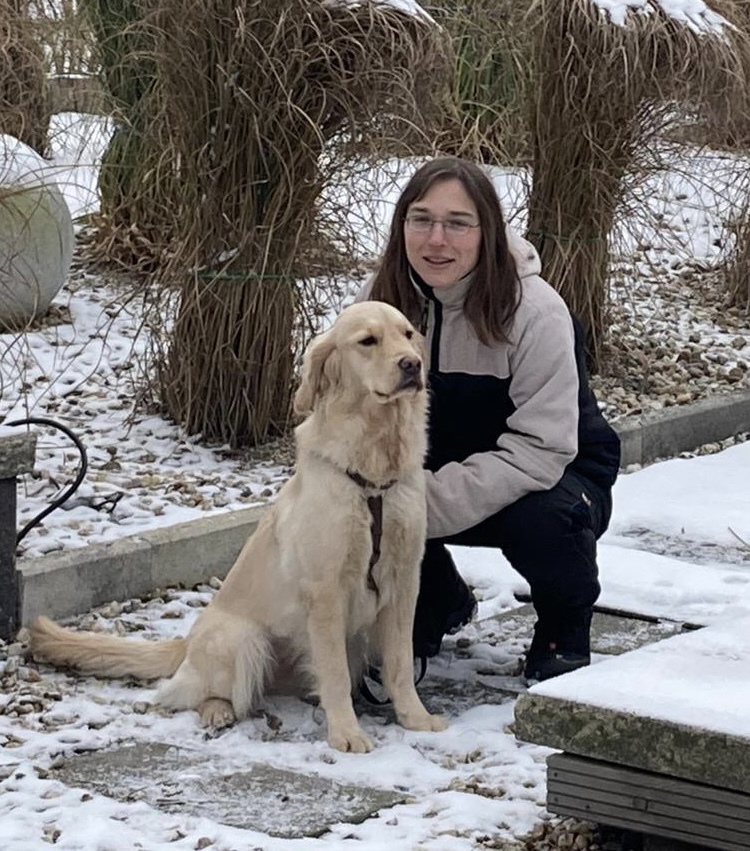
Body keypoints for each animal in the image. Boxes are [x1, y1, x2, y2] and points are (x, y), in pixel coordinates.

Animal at [30, 300, 448, 753]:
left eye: (408, 334)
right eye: (368, 341)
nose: (412, 364)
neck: (373, 473)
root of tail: (186, 643)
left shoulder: (404, 581)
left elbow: (400, 663)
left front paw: (416, 718)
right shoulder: (325, 591)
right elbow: (334, 673)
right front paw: (347, 734)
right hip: (243, 639)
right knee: (188, 695)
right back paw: (219, 711)